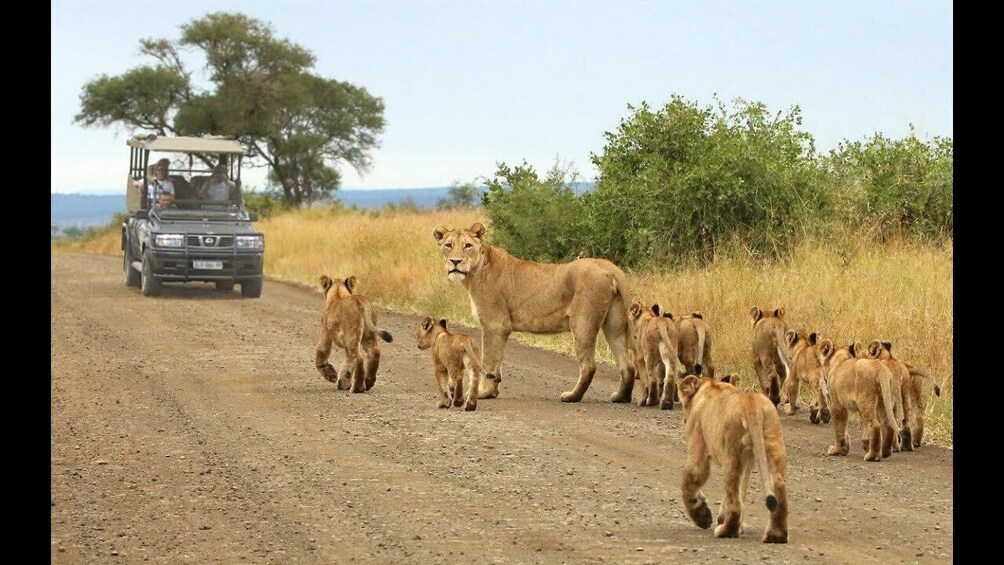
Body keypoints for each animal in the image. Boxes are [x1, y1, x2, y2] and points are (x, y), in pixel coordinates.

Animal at [433, 223, 637, 403]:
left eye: (467, 245)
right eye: (448, 245)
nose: (455, 262)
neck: (474, 273)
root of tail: (610, 268)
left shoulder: (495, 325)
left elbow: (488, 361)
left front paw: (483, 392)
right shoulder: (501, 328)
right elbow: (498, 362)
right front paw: (493, 391)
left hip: (582, 322)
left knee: (589, 366)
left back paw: (572, 397)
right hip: (614, 323)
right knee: (627, 365)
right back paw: (620, 397)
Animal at [676, 373, 789, 544]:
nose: (683, 419)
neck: (710, 386)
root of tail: (751, 403)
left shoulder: (698, 446)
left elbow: (689, 481)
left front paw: (703, 516)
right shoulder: (748, 459)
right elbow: (741, 490)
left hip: (731, 452)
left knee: (735, 499)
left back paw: (726, 531)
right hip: (772, 443)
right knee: (777, 486)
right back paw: (776, 535)